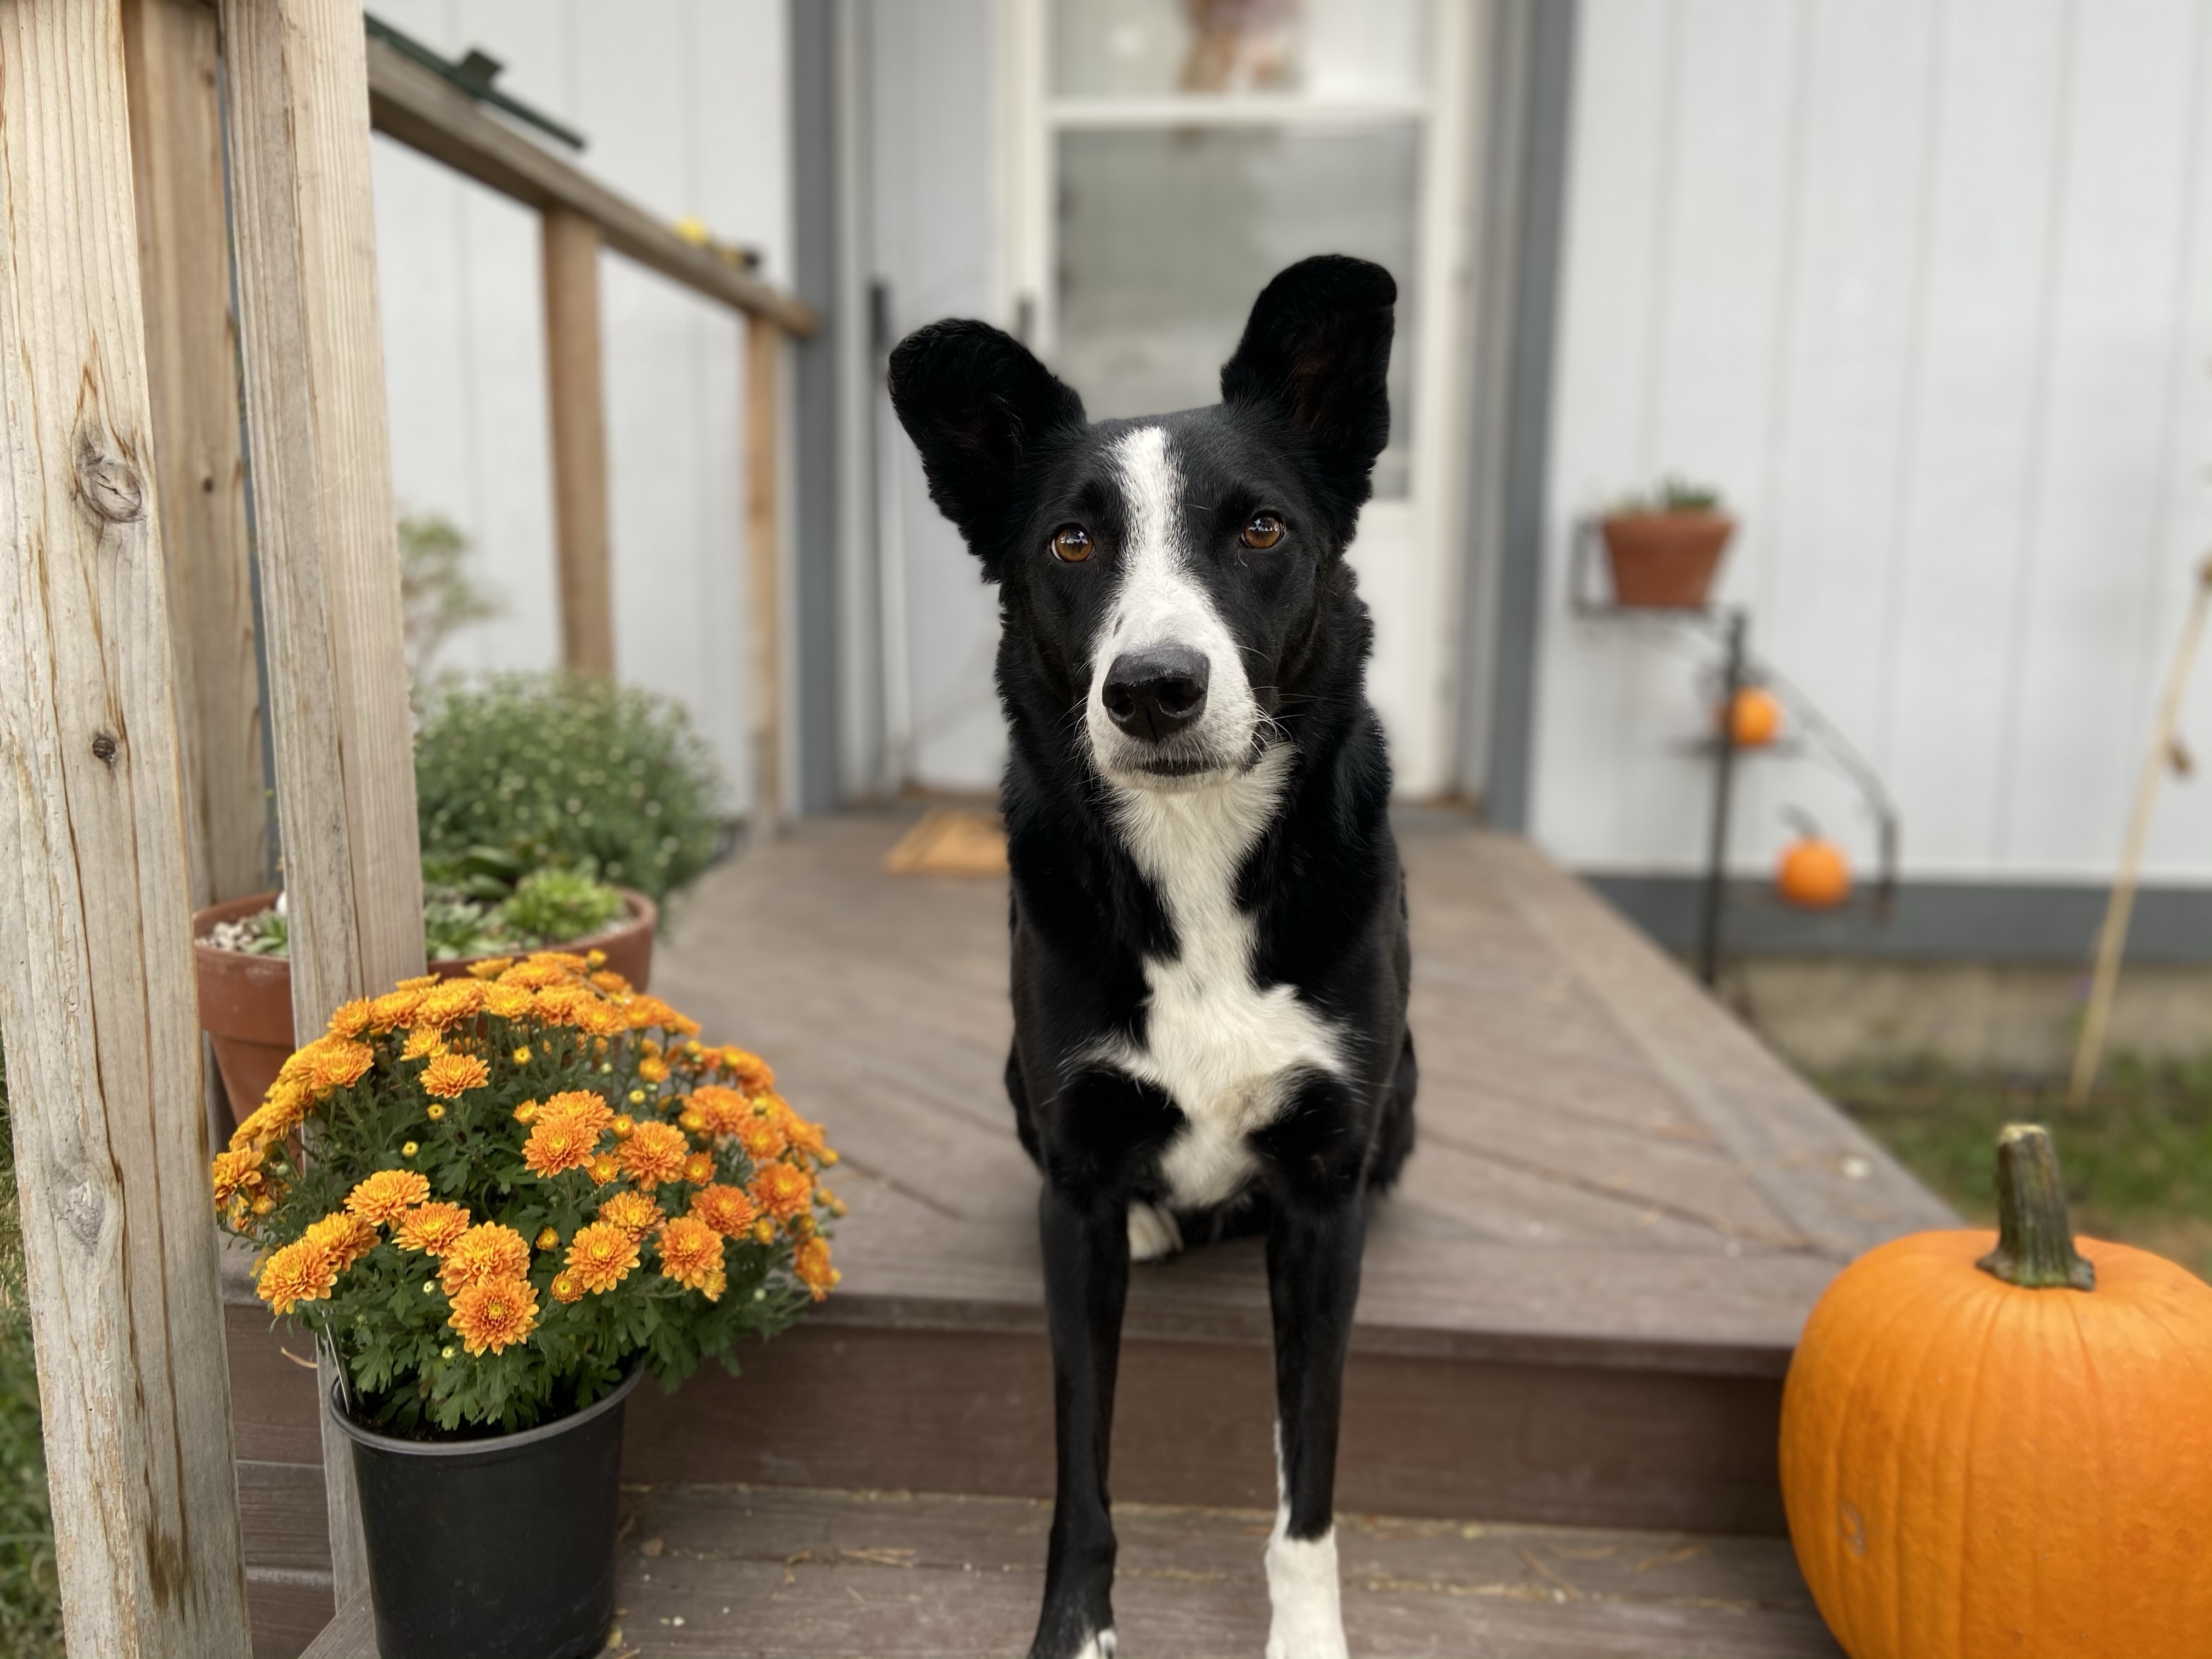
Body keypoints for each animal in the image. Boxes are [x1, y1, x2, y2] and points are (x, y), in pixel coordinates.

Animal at [889, 255, 1416, 1659]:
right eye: (1071, 544)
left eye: (1262, 531)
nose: (1154, 690)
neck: (1195, 861)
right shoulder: (1070, 1197)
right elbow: (1081, 1467)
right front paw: (1073, 1634)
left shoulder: (1320, 1203)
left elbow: (1310, 1482)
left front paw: (1309, 1638)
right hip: (1020, 1084)